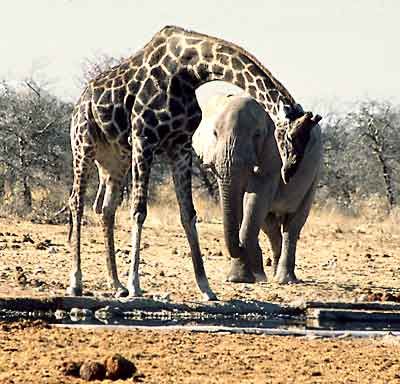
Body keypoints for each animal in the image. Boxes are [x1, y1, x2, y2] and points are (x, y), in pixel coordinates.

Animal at [191, 94, 322, 284]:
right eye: (214, 134)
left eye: (257, 135)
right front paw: (244, 277)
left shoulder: (273, 159)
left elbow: (254, 201)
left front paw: (240, 278)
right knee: (270, 226)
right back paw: (269, 274)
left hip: (315, 175)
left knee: (293, 224)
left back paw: (284, 279)